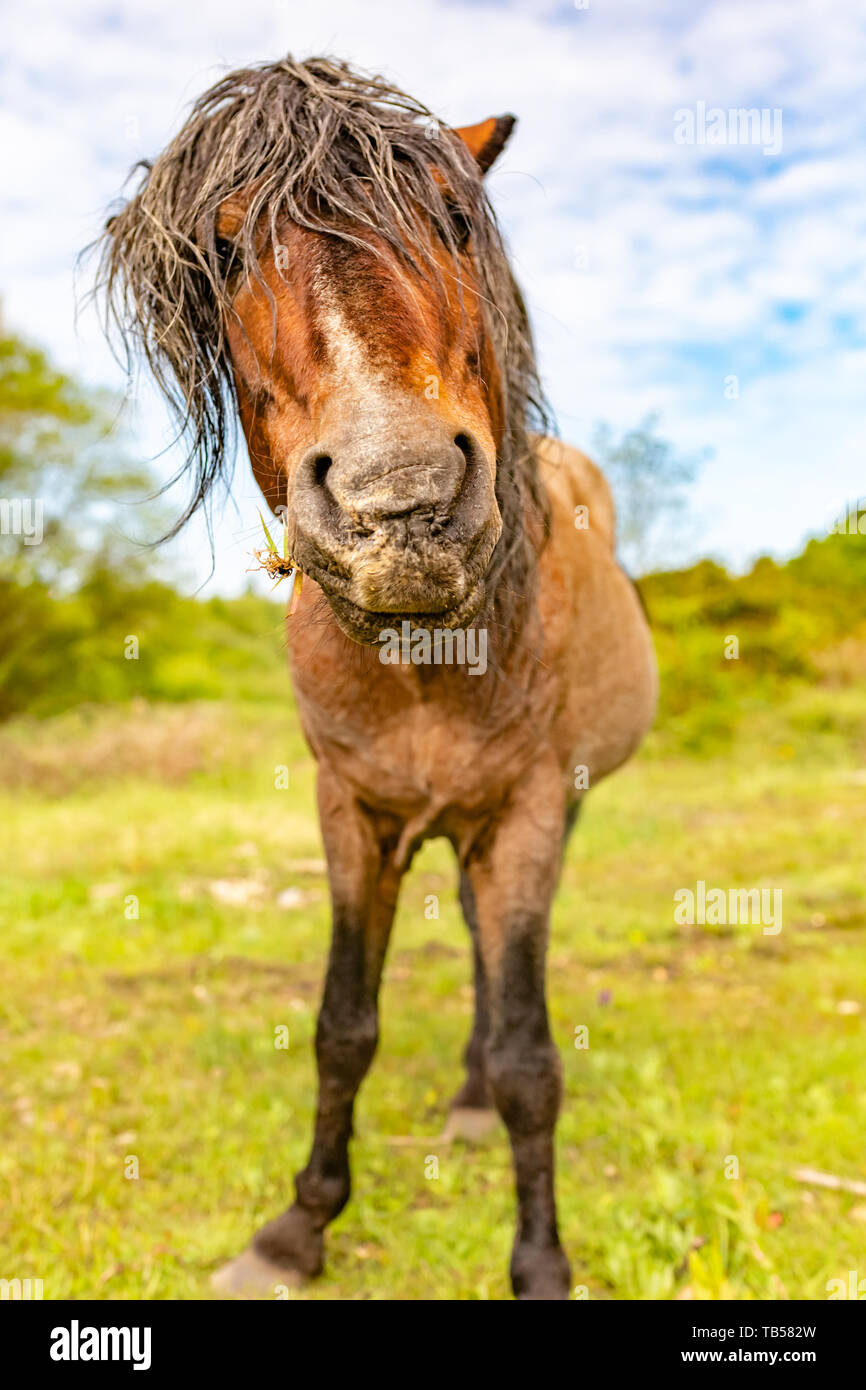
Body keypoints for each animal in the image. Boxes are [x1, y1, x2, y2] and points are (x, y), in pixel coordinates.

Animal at [96, 56, 656, 1301]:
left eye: (451, 219)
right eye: (223, 252)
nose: (398, 504)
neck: (426, 665)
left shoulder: (530, 808)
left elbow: (530, 1054)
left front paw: (538, 1261)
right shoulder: (348, 808)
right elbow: (341, 1023)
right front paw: (296, 1229)